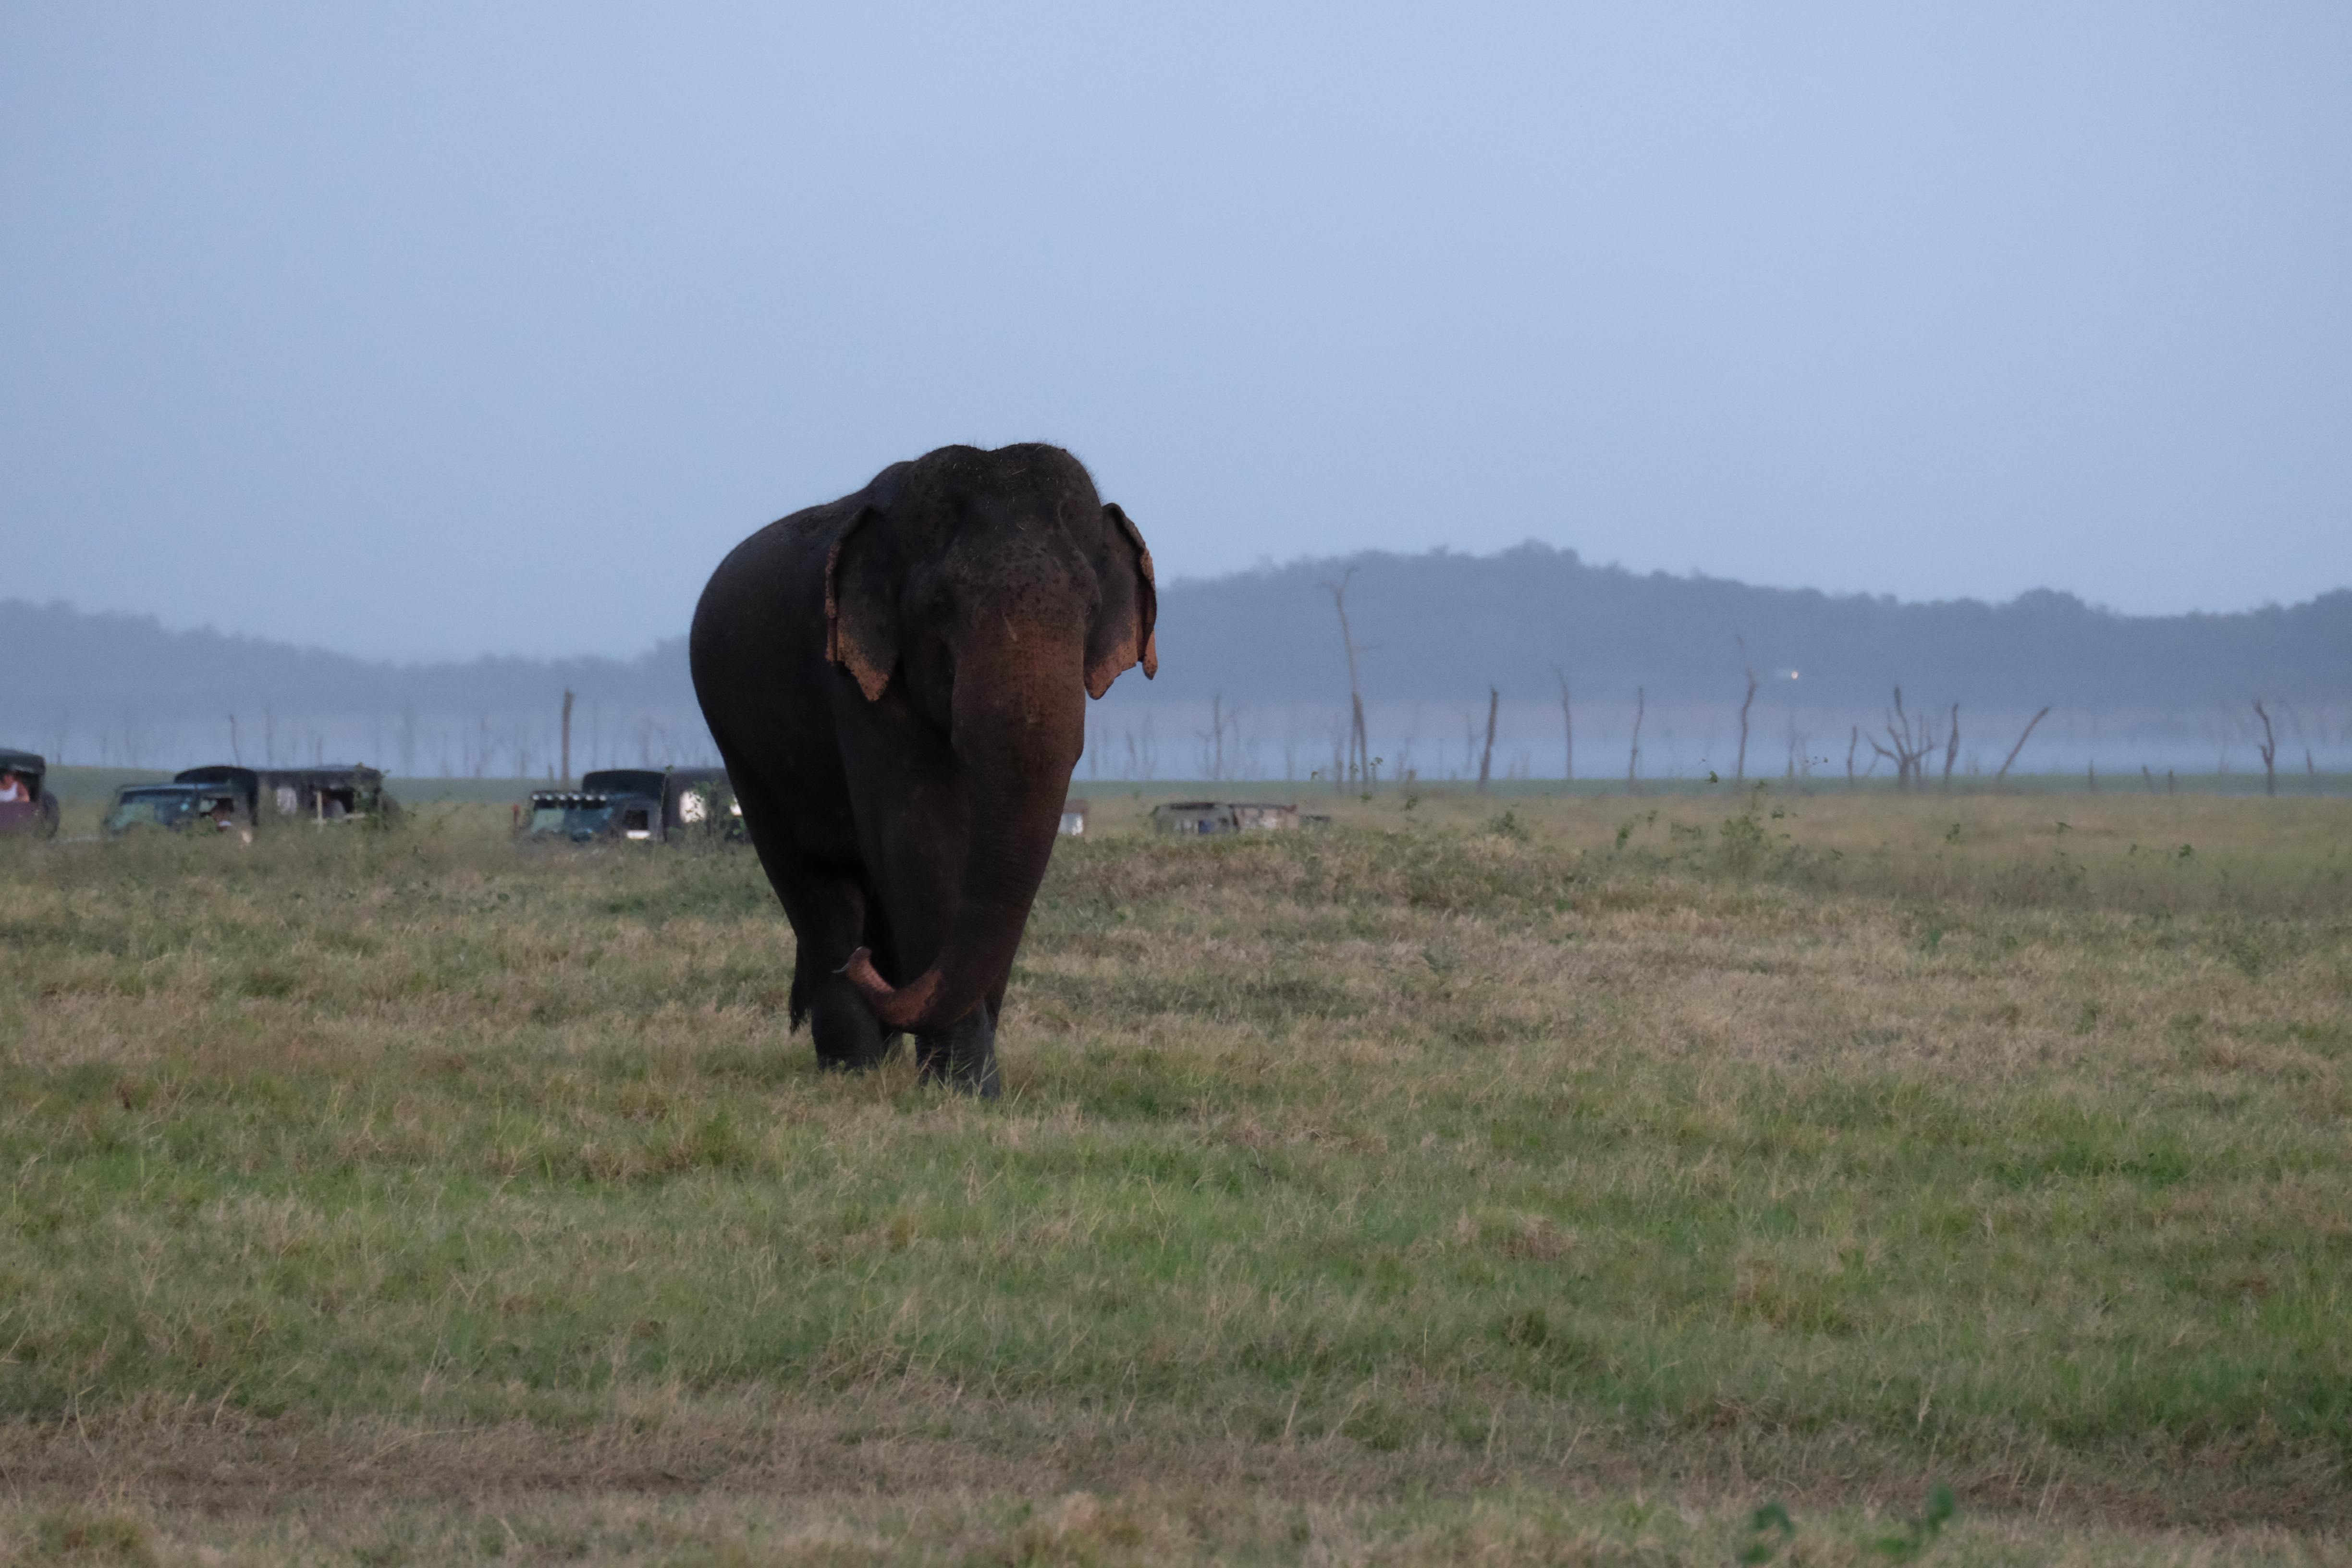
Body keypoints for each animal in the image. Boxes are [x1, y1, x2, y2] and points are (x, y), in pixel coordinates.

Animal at [689, 444, 1158, 1096]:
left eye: (1090, 608)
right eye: (940, 608)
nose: (863, 969)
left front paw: (970, 1084)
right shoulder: (859, 684)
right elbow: (920, 841)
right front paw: (966, 1092)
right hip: (739, 748)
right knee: (814, 884)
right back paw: (852, 1069)